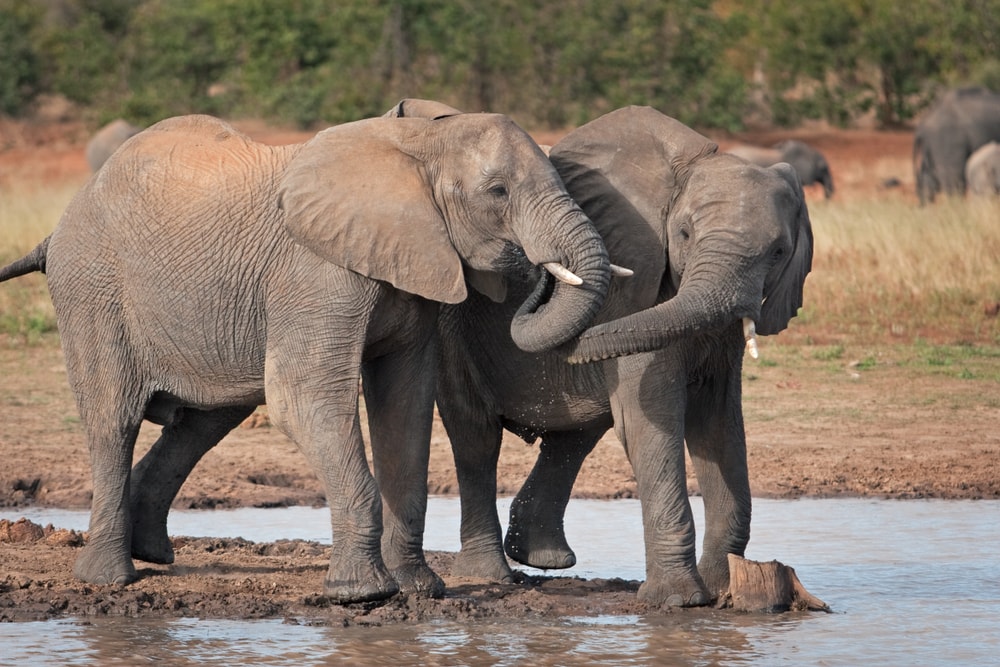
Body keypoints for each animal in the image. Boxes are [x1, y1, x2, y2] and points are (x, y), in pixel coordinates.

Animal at [0, 111, 612, 603]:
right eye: (498, 192)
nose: (536, 269)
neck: (416, 142)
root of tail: (59, 226)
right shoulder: (318, 273)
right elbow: (301, 399)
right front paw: (361, 595)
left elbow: (406, 407)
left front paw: (421, 589)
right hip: (92, 290)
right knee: (114, 420)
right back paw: (109, 578)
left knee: (206, 419)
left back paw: (152, 554)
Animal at [428, 105, 812, 607]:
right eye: (684, 233)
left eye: (780, 251)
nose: (540, 280)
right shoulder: (637, 292)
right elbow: (652, 421)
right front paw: (678, 602)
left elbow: (718, 427)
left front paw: (721, 591)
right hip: (450, 322)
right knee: (475, 435)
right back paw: (493, 573)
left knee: (575, 435)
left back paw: (543, 559)